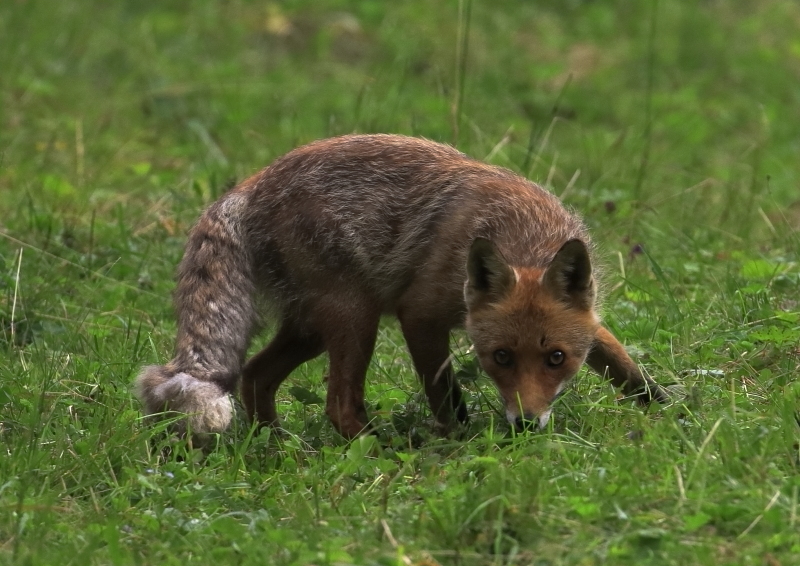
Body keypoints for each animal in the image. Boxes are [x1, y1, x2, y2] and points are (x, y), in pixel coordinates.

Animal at [134, 133, 664, 440]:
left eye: (557, 358)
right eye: (500, 358)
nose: (525, 428)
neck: (522, 236)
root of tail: (249, 187)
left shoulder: (590, 322)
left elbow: (628, 370)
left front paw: (669, 414)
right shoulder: (420, 315)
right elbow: (446, 396)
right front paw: (459, 445)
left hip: (311, 328)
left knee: (255, 374)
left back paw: (274, 446)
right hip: (355, 318)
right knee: (337, 405)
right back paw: (373, 450)